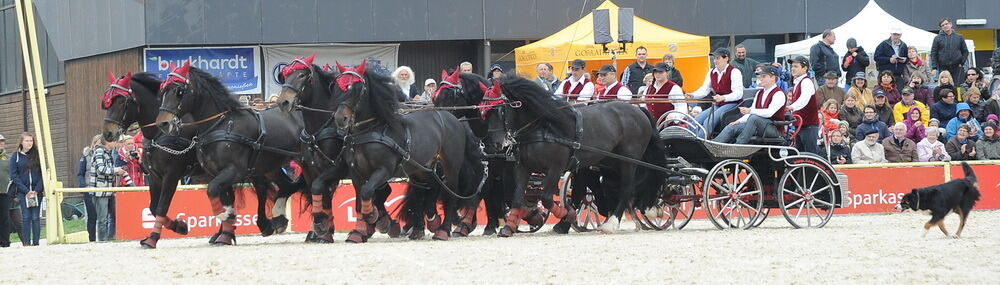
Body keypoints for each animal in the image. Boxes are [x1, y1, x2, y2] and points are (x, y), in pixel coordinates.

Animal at [276, 54, 400, 241]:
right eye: (284, 75)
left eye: (302, 75)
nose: (283, 102)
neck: (318, 130)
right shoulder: (310, 169)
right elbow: (319, 196)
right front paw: (321, 229)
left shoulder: (336, 168)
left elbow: (321, 190)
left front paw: (325, 230)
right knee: (382, 191)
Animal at [332, 61, 484, 241]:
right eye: (338, 88)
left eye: (358, 89)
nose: (340, 118)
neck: (370, 130)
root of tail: (454, 119)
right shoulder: (356, 173)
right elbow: (358, 202)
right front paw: (358, 232)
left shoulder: (384, 170)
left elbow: (367, 191)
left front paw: (373, 216)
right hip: (421, 168)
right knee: (427, 190)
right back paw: (426, 225)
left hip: (450, 166)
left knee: (450, 194)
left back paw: (443, 230)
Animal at [484, 75, 664, 235]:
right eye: (484, 113)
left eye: (500, 110)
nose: (496, 145)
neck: (543, 128)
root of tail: (639, 110)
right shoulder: (523, 167)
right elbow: (517, 198)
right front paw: (509, 227)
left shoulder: (555, 168)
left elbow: (546, 198)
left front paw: (567, 215)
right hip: (610, 161)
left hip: (629, 162)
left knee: (626, 189)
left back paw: (612, 223)